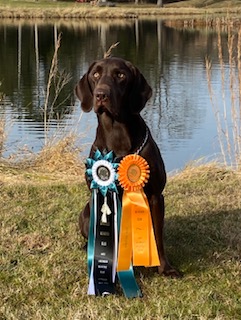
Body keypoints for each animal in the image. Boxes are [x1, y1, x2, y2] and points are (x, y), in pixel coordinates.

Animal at [76, 56, 181, 276]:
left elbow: (157, 237)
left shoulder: (155, 195)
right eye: (95, 74)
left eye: (120, 75)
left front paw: (165, 268)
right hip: (86, 212)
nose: (101, 94)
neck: (117, 135)